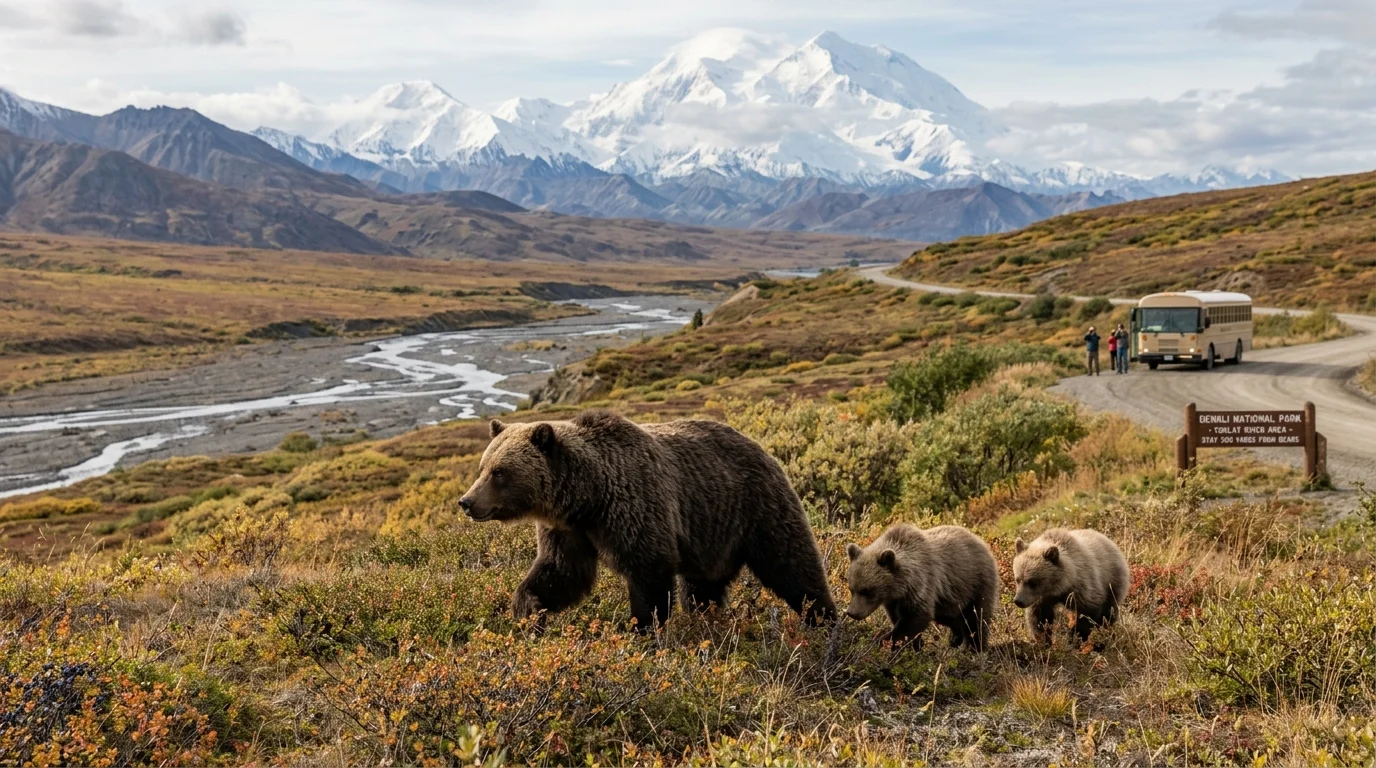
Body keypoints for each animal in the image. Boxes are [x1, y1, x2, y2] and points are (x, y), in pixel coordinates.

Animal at [458, 410, 837, 631]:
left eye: (500, 472)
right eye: (483, 467)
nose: (467, 502)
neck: (588, 496)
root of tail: (760, 445)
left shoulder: (634, 506)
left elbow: (648, 572)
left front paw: (640, 627)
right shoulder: (569, 529)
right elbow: (561, 572)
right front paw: (528, 611)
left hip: (757, 508)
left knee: (792, 565)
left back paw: (824, 620)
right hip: (712, 535)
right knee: (701, 588)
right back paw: (705, 619)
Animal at [844, 524, 999, 651]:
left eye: (867, 591)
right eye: (851, 589)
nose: (852, 612)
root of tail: (980, 540)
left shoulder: (921, 584)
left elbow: (915, 618)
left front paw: (882, 641)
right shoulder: (894, 601)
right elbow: (899, 619)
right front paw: (915, 645)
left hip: (975, 582)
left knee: (975, 617)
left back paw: (975, 647)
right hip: (948, 599)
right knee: (953, 618)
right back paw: (956, 640)